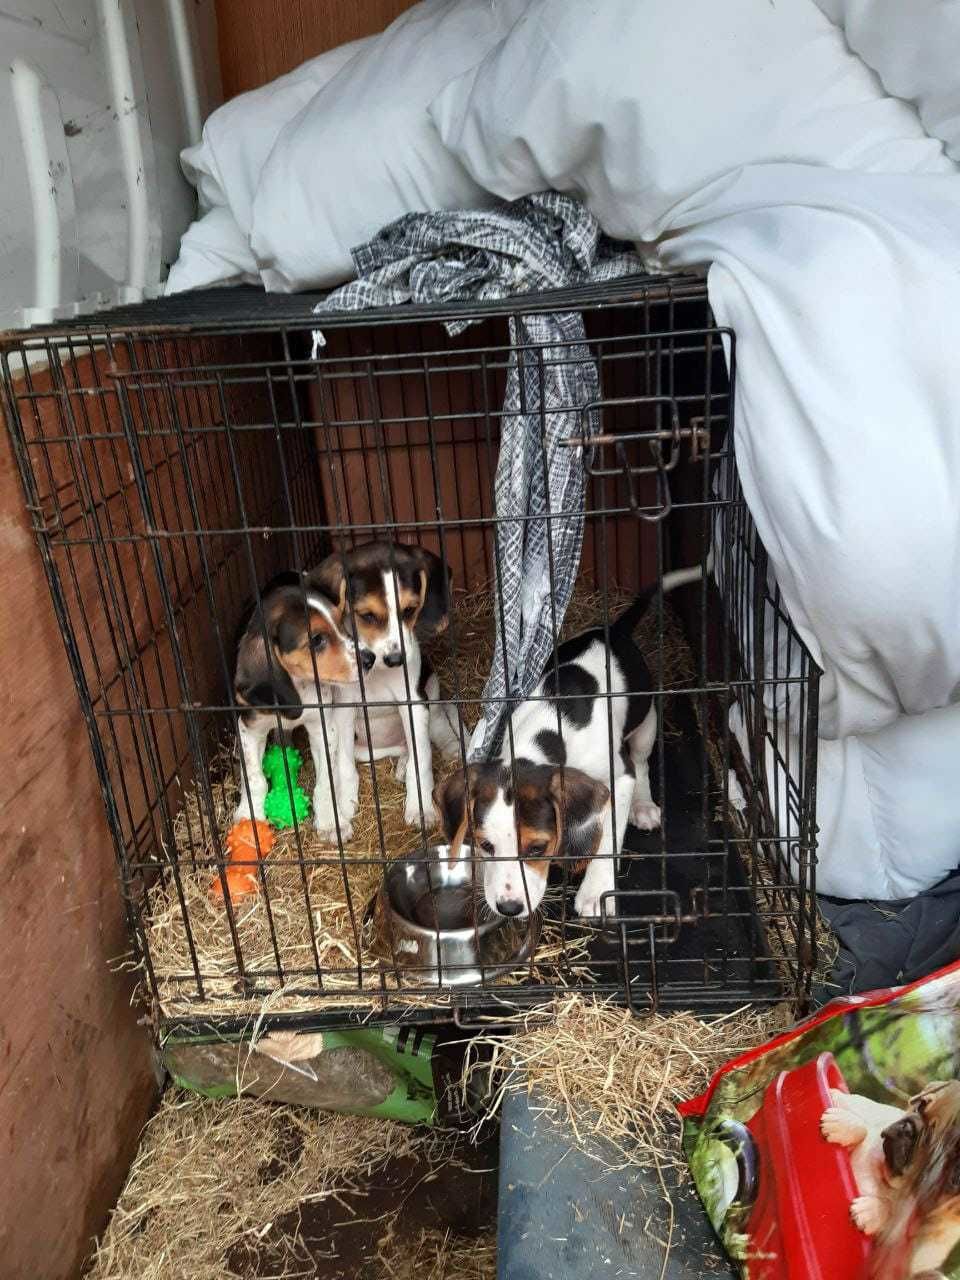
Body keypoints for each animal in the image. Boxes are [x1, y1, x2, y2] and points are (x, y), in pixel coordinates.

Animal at [234, 573, 360, 839]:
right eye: (316, 640)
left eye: (340, 623)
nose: (369, 659)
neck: (297, 686)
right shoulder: (249, 728)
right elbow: (254, 778)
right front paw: (250, 818)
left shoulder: (323, 728)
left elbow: (325, 782)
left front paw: (330, 822)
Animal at [316, 540, 463, 829]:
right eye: (367, 616)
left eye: (410, 610)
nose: (396, 659)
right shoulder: (344, 708)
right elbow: (345, 765)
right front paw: (345, 803)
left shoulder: (414, 705)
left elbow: (422, 760)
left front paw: (420, 806)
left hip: (431, 692)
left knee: (435, 731)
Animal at [440, 565, 701, 916]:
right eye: (486, 845)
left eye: (538, 847)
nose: (508, 908)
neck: (548, 733)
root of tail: (610, 631)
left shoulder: (618, 776)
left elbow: (608, 838)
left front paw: (596, 891)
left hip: (646, 721)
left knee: (643, 761)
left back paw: (644, 805)